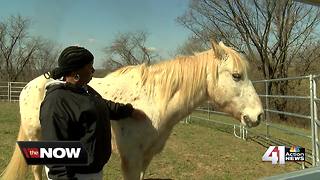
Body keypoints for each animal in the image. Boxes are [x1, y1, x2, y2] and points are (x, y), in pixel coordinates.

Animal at [1, 41, 262, 180]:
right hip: (37, 139)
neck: (152, 101)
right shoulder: (131, 159)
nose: (258, 116)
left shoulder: (146, 158)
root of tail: (28, 87)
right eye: (236, 76)